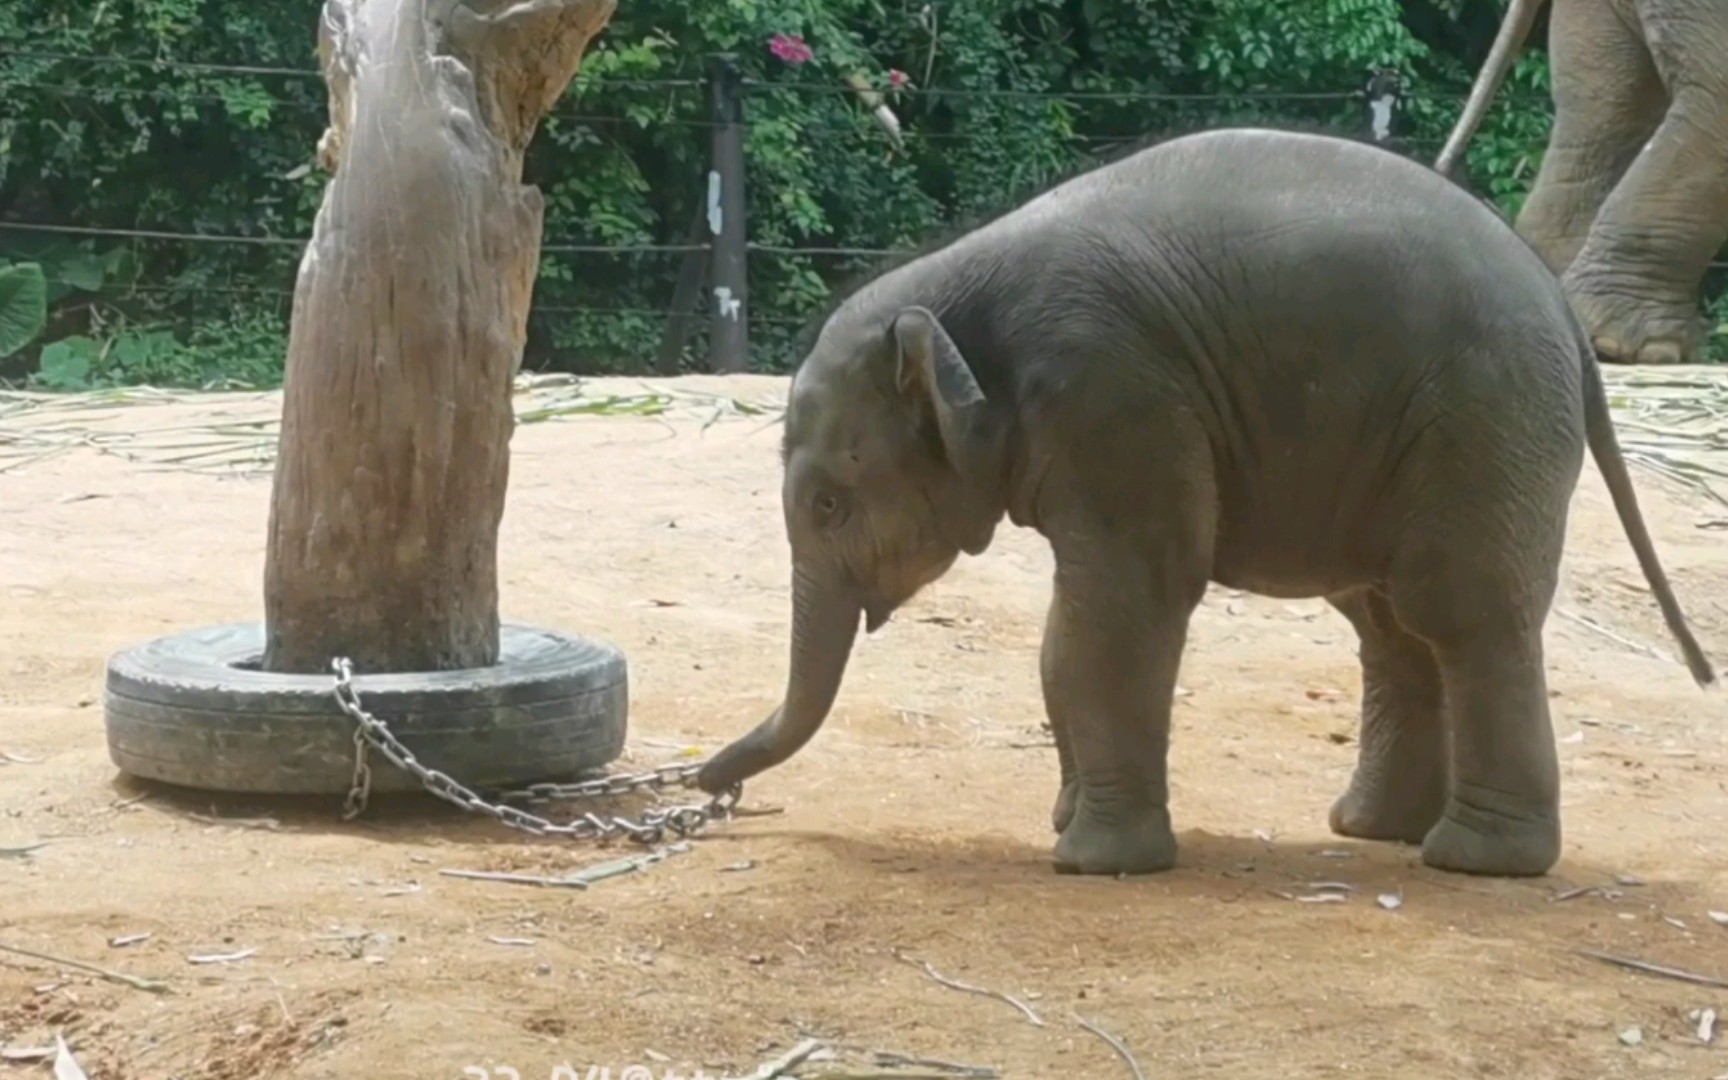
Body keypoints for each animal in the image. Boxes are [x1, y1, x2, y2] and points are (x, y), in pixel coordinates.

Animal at [691, 124, 1714, 877]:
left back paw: (1473, 861)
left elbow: (1118, 610)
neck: (952, 284)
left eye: (827, 506)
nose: (707, 788)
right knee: (1388, 623)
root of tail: (1566, 318)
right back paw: (1369, 831)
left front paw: (1093, 863)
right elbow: (1076, 633)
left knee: (1459, 611)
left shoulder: (1117, 396)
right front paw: (1068, 822)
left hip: (1485, 420)